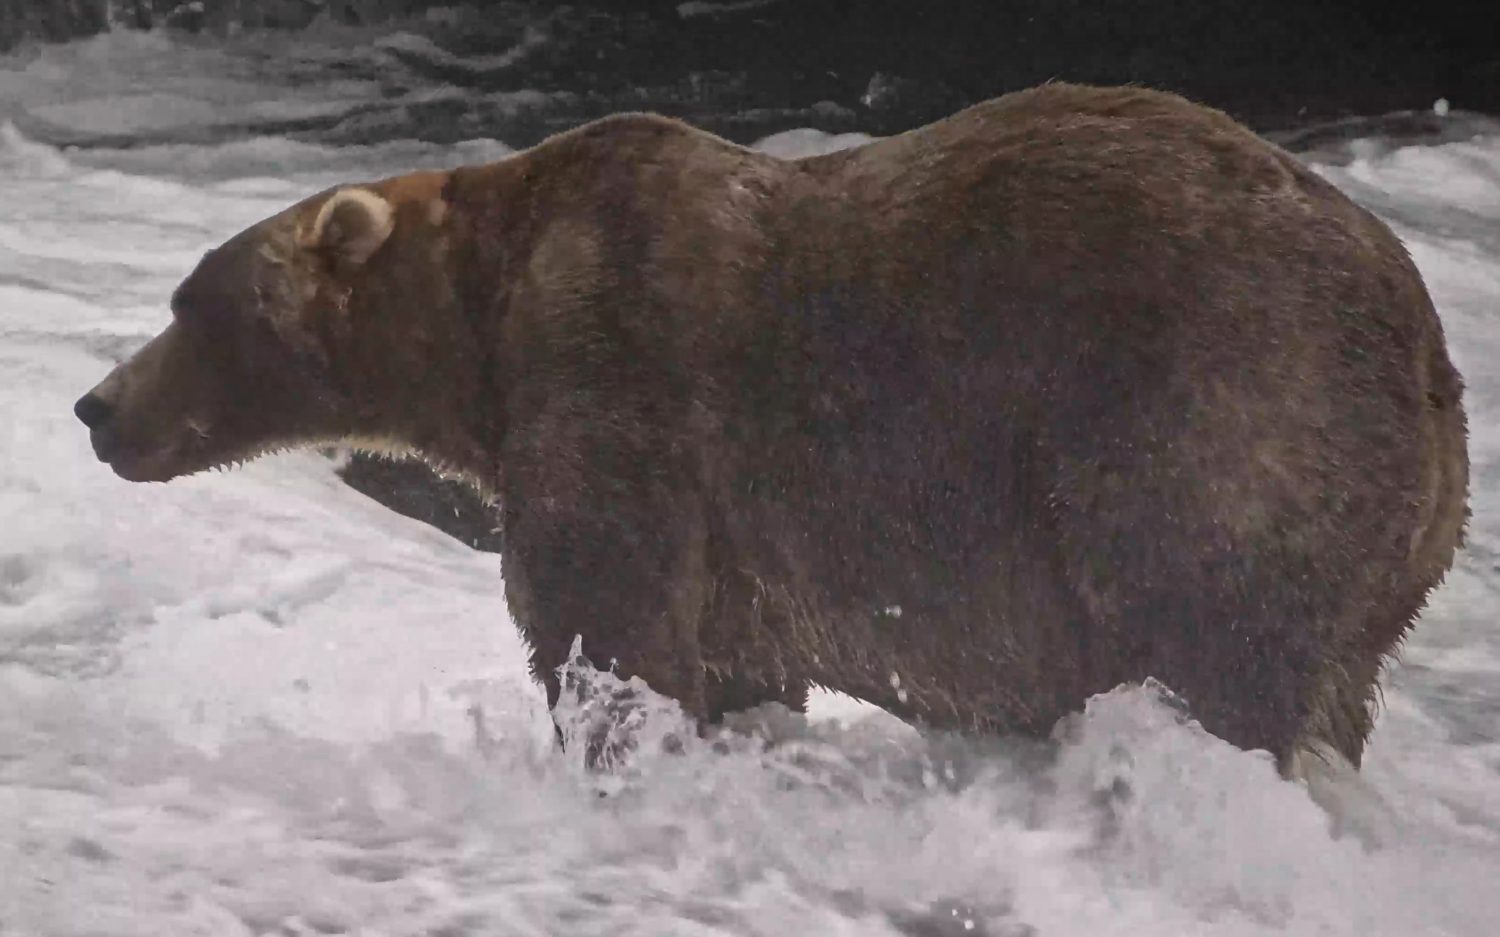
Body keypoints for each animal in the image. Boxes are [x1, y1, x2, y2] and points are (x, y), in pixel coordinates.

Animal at [74, 82, 1468, 773]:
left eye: (191, 302)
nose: (97, 407)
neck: (479, 327)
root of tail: (1427, 342)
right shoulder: (737, 538)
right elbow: (736, 659)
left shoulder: (618, 375)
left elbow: (604, 620)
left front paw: (611, 746)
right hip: (1390, 543)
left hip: (1213, 415)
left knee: (1213, 637)